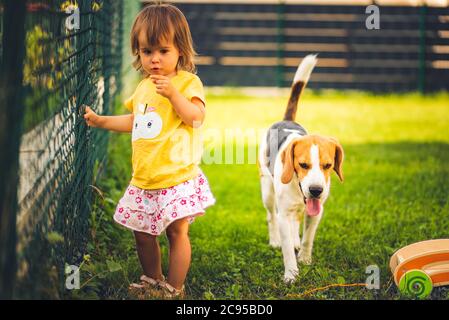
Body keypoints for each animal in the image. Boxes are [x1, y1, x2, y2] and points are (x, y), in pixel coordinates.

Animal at [256, 55, 344, 282]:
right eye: (303, 165)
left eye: (328, 166)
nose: (316, 190)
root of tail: (286, 120)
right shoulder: (283, 215)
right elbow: (286, 248)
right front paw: (291, 273)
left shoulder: (315, 213)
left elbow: (308, 238)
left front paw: (304, 258)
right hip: (267, 193)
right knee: (271, 217)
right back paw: (274, 240)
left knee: (296, 222)